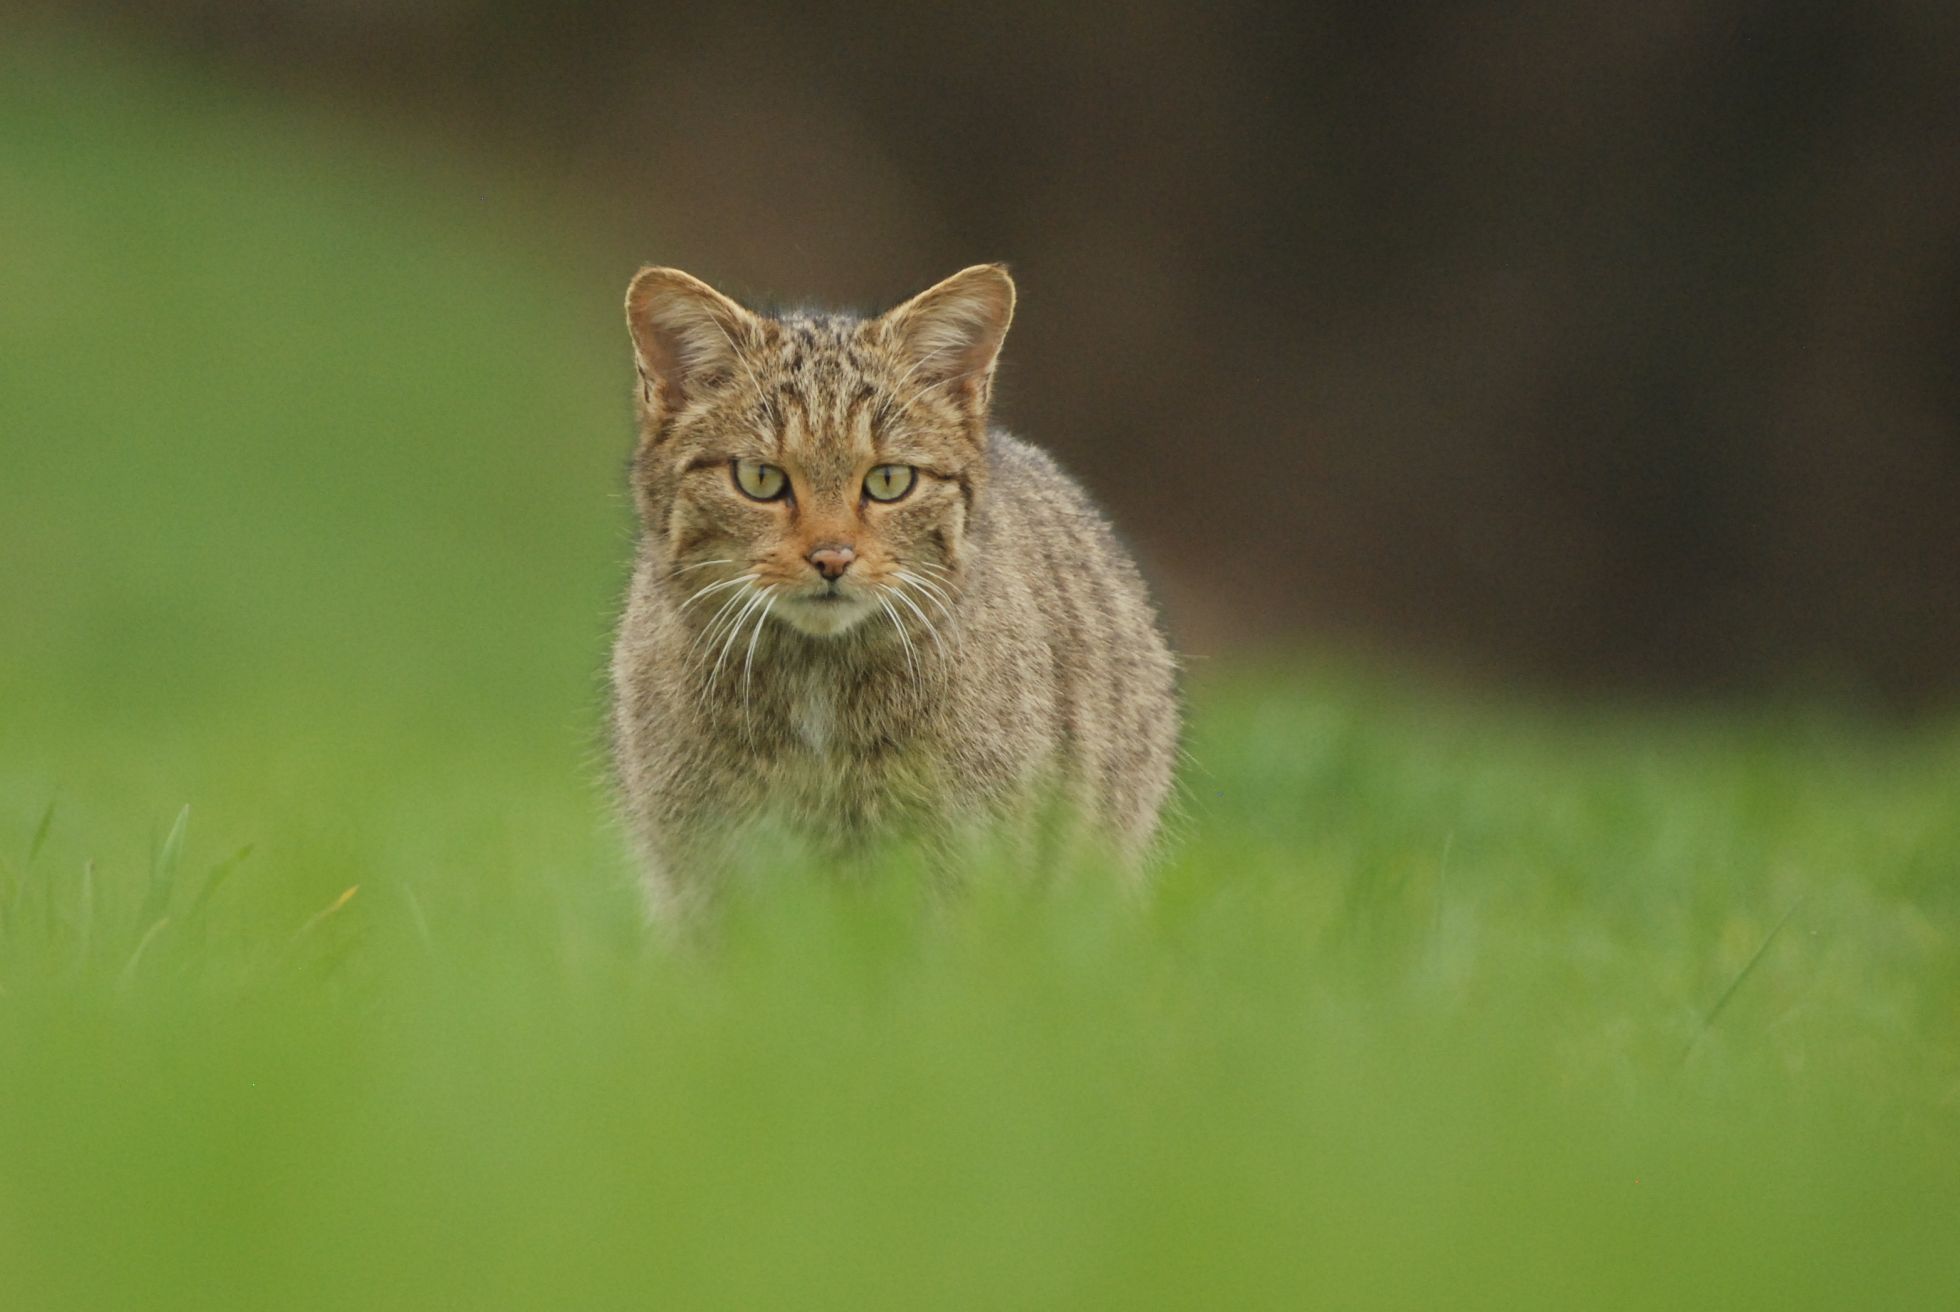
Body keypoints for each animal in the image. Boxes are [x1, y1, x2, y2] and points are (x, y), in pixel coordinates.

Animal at [607, 262, 1176, 921]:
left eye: (888, 481)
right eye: (760, 478)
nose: (832, 557)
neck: (816, 682)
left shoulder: (961, 859)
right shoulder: (705, 870)